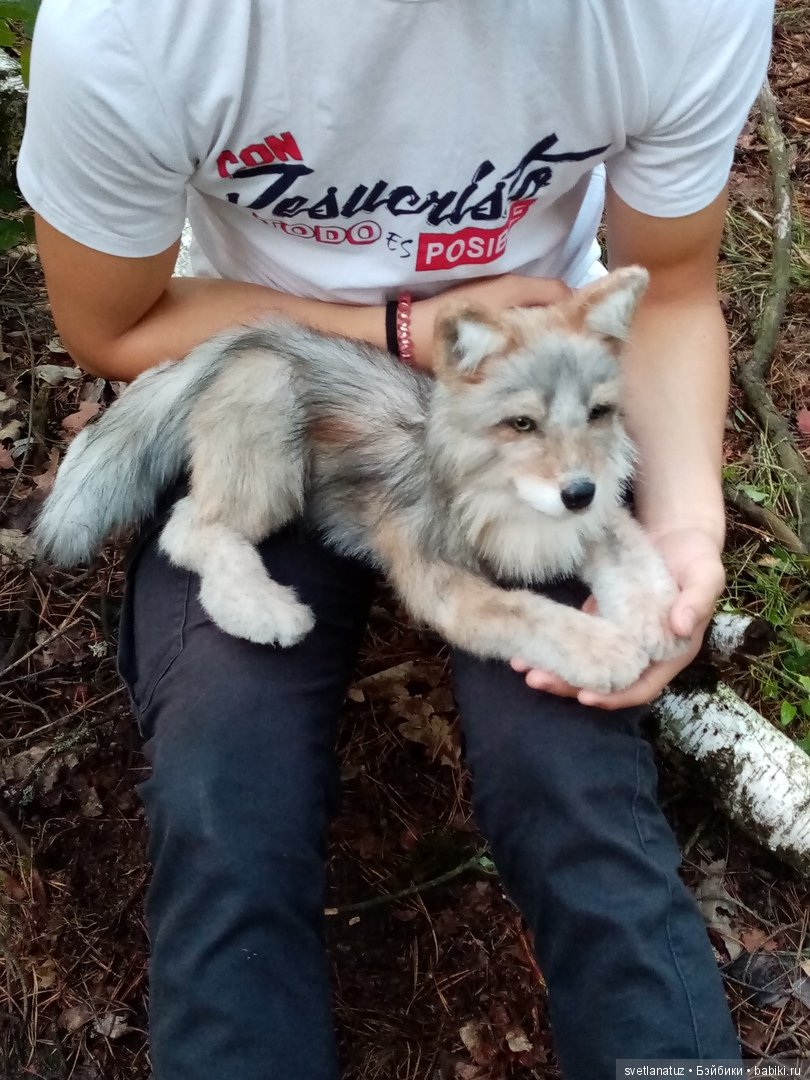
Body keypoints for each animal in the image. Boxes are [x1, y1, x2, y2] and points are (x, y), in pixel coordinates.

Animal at [36, 266, 688, 693]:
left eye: (598, 413)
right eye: (522, 423)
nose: (578, 492)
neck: (496, 493)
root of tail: (250, 337)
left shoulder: (593, 522)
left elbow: (636, 560)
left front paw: (660, 620)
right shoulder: (440, 581)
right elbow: (530, 613)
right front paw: (603, 648)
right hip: (271, 438)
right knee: (191, 528)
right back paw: (266, 610)